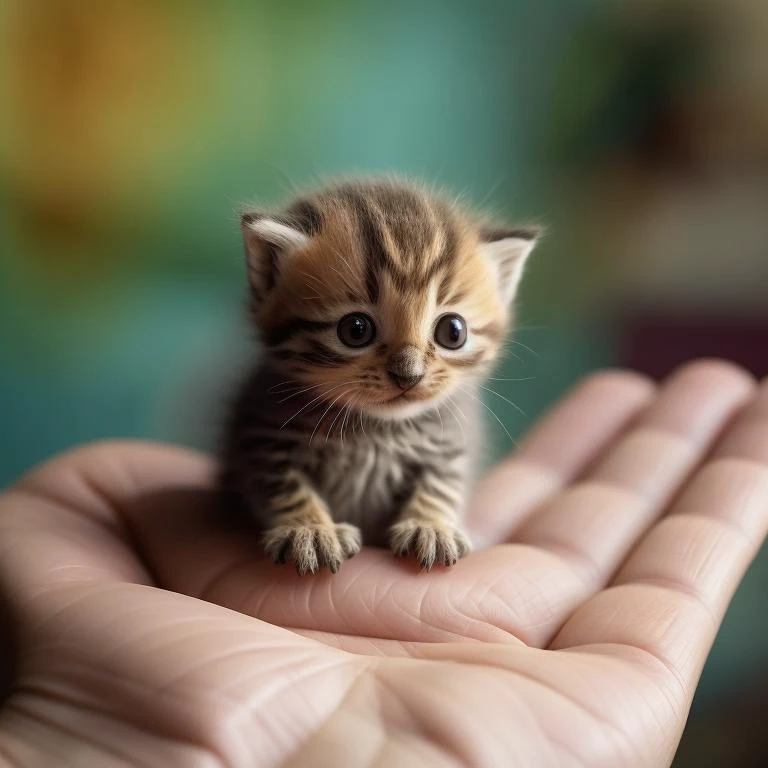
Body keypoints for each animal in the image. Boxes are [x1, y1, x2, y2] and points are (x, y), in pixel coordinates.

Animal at [219, 177, 536, 572]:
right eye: (355, 330)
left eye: (453, 332)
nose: (409, 375)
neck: (377, 430)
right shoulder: (261, 432)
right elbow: (283, 484)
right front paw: (310, 529)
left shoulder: (454, 438)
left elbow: (443, 482)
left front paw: (430, 525)